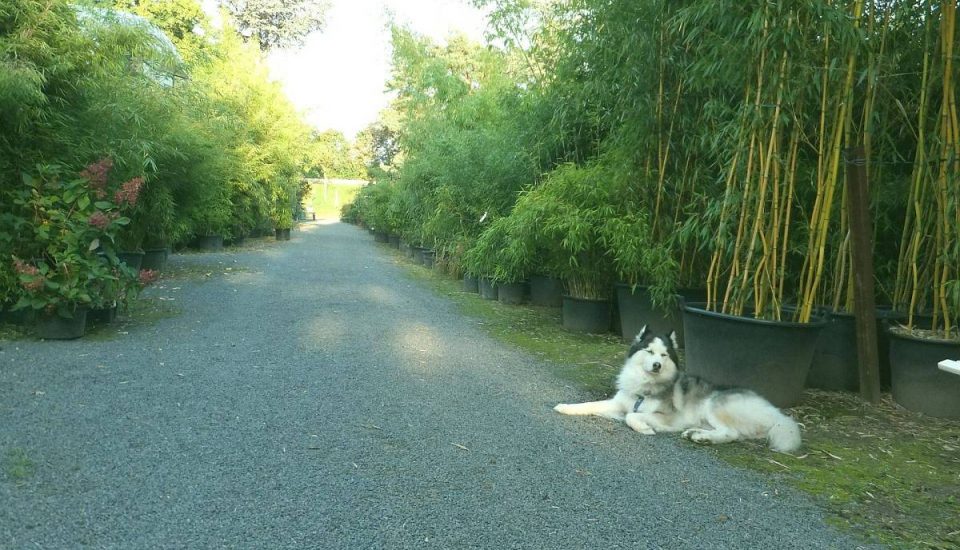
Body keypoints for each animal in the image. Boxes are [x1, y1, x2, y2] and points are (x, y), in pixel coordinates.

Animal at [556, 328, 804, 452]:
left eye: (664, 355)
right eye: (649, 351)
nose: (657, 365)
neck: (644, 386)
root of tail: (776, 412)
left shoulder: (670, 417)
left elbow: (632, 416)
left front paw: (644, 428)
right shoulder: (618, 403)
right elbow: (590, 405)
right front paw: (565, 407)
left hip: (715, 405)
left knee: (731, 433)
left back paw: (702, 438)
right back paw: (697, 434)